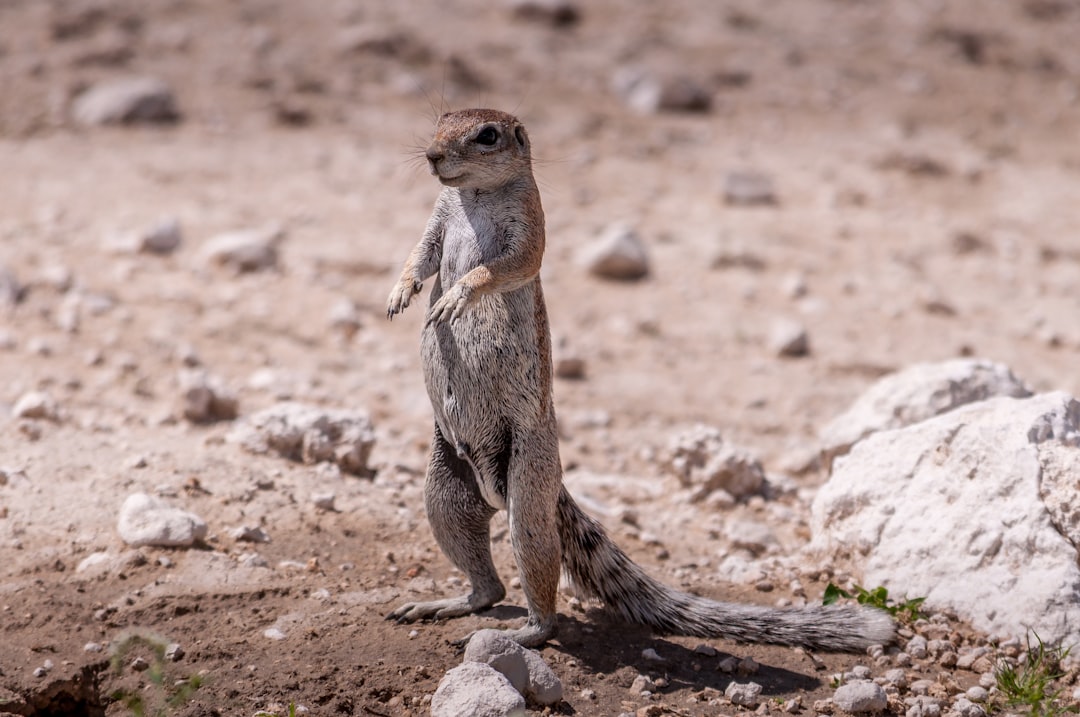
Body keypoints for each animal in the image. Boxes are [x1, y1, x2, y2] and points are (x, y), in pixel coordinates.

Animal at [384, 109, 889, 652]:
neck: (473, 195)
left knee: (537, 585)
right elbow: (420, 255)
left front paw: (457, 295)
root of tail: (503, 488)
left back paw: (522, 632)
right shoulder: (436, 223)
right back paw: (443, 604)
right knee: (488, 585)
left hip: (529, 491)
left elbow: (508, 265)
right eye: (441, 121)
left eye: (487, 136)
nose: (432, 156)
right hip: (444, 495)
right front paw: (400, 292)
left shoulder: (530, 227)